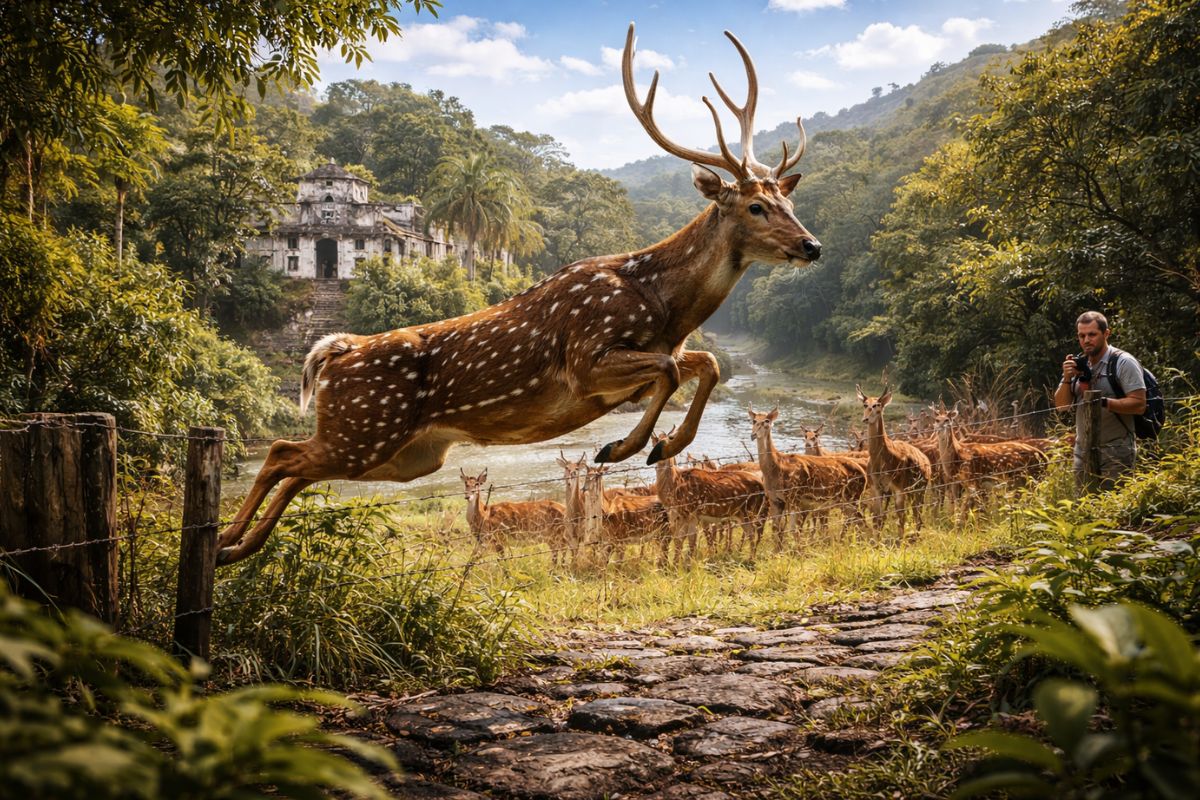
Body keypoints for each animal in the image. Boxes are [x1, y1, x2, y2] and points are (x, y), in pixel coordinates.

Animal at [214, 24, 821, 566]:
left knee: (293, 465)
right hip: (365, 427)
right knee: (281, 451)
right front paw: (625, 447)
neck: (660, 304)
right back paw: (227, 541)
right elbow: (674, 371)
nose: (811, 245)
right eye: (755, 206)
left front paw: (660, 445)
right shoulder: (586, 357)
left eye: (786, 201)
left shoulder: (655, 353)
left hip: (402, 454)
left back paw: (235, 546)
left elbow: (706, 364)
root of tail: (332, 350)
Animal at [748, 407, 867, 547]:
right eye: (754, 420)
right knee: (855, 520)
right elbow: (776, 531)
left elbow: (793, 530)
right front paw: (779, 551)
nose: (753, 434)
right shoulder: (775, 500)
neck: (776, 470)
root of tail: (864, 475)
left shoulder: (794, 497)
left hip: (853, 497)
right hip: (845, 501)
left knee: (860, 520)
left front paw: (798, 550)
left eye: (767, 421)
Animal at [856, 385, 933, 539]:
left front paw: (899, 540)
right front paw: (876, 540)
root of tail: (927, 462)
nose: (866, 419)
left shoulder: (899, 487)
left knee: (918, 515)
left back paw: (914, 537)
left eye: (877, 405)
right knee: (915, 515)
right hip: (911, 490)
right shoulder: (876, 487)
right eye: (865, 404)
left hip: (921, 487)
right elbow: (877, 517)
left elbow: (900, 517)